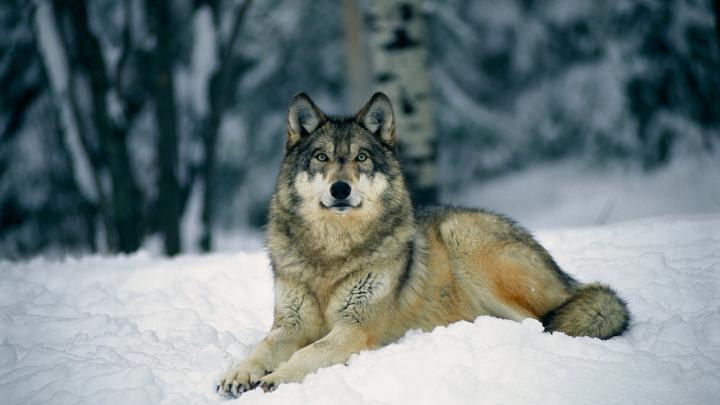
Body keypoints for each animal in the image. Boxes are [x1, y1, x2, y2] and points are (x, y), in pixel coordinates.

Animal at [218, 92, 630, 397]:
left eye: (361, 158)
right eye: (322, 157)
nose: (340, 189)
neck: (332, 252)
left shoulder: (354, 328)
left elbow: (308, 354)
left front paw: (274, 379)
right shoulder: (290, 325)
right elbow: (262, 348)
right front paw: (238, 374)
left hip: (467, 242)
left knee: (540, 321)